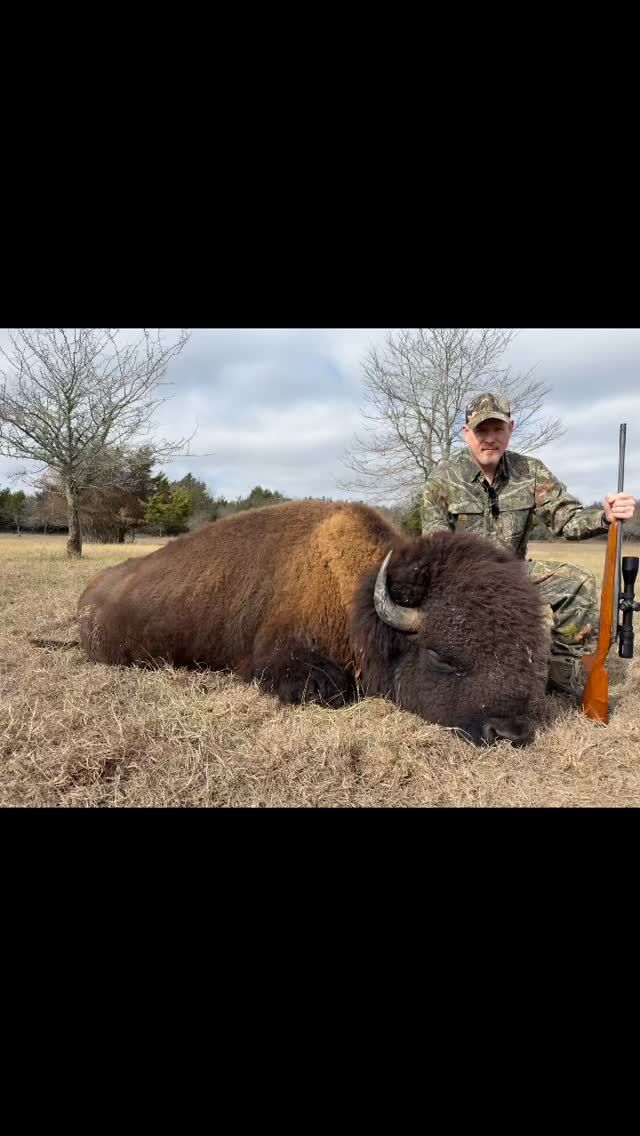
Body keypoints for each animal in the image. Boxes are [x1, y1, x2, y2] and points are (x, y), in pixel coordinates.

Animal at [77, 499, 549, 746]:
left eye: (527, 657)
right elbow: (331, 689)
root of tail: (89, 592)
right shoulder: (282, 662)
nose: (510, 733)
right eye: (441, 657)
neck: (356, 595)